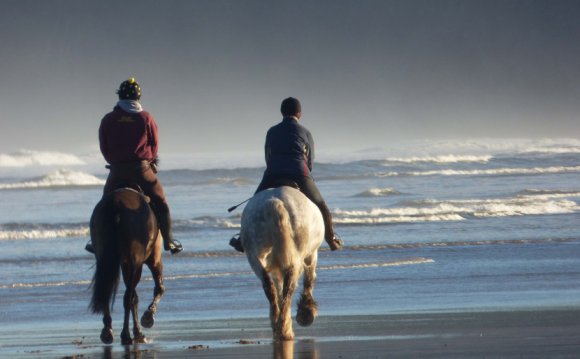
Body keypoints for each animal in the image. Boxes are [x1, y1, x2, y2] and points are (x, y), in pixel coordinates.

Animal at [89, 188, 164, 346]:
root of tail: (116, 203)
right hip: (136, 262)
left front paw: (138, 331)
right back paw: (126, 335)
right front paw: (147, 318)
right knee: (128, 297)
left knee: (108, 291)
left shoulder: (125, 265)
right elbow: (158, 289)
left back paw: (108, 332)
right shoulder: (153, 260)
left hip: (105, 258)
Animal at [240, 187, 326, 342]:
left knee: (269, 286)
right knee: (289, 287)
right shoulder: (312, 254)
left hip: (254, 255)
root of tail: (275, 204)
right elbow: (309, 279)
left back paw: (278, 325)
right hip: (298, 256)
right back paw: (285, 330)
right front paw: (306, 310)